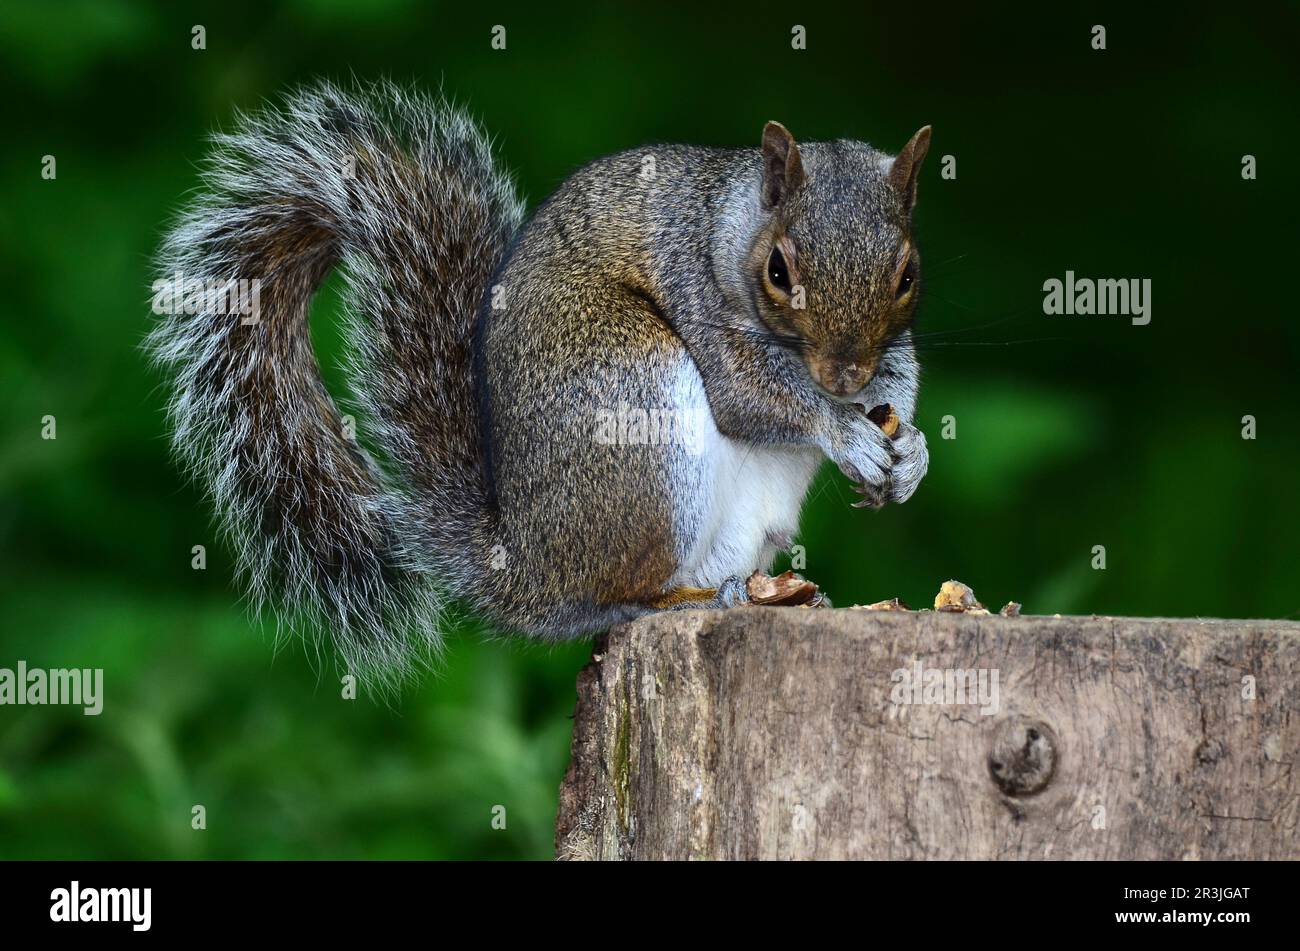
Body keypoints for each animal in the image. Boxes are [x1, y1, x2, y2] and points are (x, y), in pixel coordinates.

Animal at [147, 80, 932, 679]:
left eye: (908, 274)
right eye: (778, 270)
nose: (845, 373)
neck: (731, 227)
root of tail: (525, 572)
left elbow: (898, 377)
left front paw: (907, 450)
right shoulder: (698, 292)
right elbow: (748, 397)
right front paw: (846, 435)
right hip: (634, 397)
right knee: (617, 596)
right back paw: (683, 601)